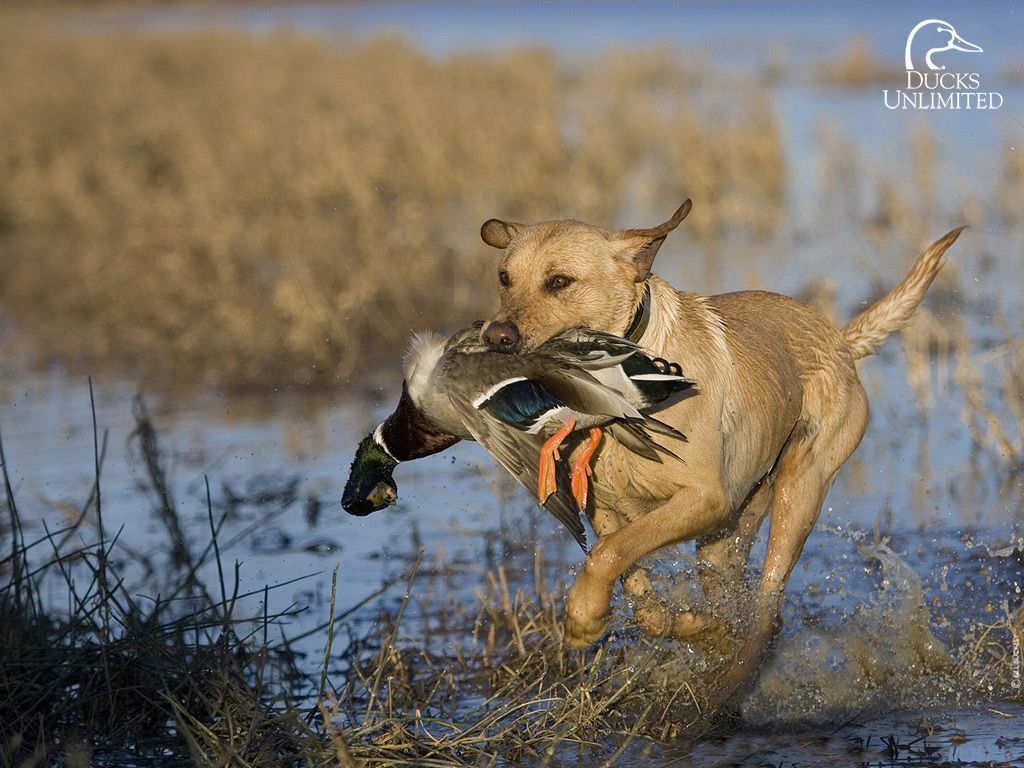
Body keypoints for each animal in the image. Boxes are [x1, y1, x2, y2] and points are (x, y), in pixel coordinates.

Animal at [477, 199, 958, 704]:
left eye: (559, 281)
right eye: (504, 277)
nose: (495, 336)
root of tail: (841, 340)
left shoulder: (707, 499)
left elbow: (610, 554)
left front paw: (582, 618)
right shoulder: (606, 509)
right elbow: (637, 590)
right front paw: (698, 630)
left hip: (799, 491)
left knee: (769, 610)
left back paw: (730, 690)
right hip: (729, 534)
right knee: (742, 602)